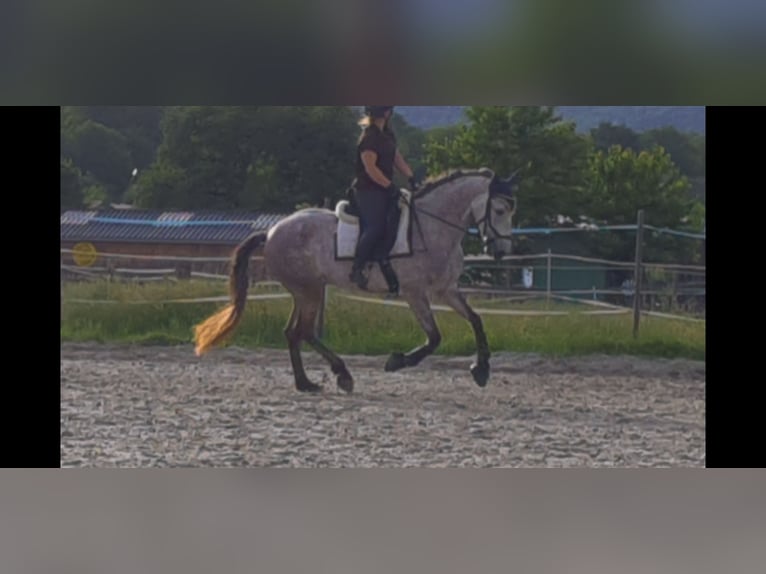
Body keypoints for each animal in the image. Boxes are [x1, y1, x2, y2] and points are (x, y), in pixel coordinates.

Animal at [196, 168, 520, 396]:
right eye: (500, 211)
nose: (500, 251)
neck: (432, 227)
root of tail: (272, 231)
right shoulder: (415, 293)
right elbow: (434, 338)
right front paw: (396, 362)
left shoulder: (446, 290)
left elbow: (476, 319)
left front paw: (481, 369)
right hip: (309, 290)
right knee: (304, 331)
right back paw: (341, 374)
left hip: (307, 290)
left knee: (293, 332)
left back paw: (306, 383)